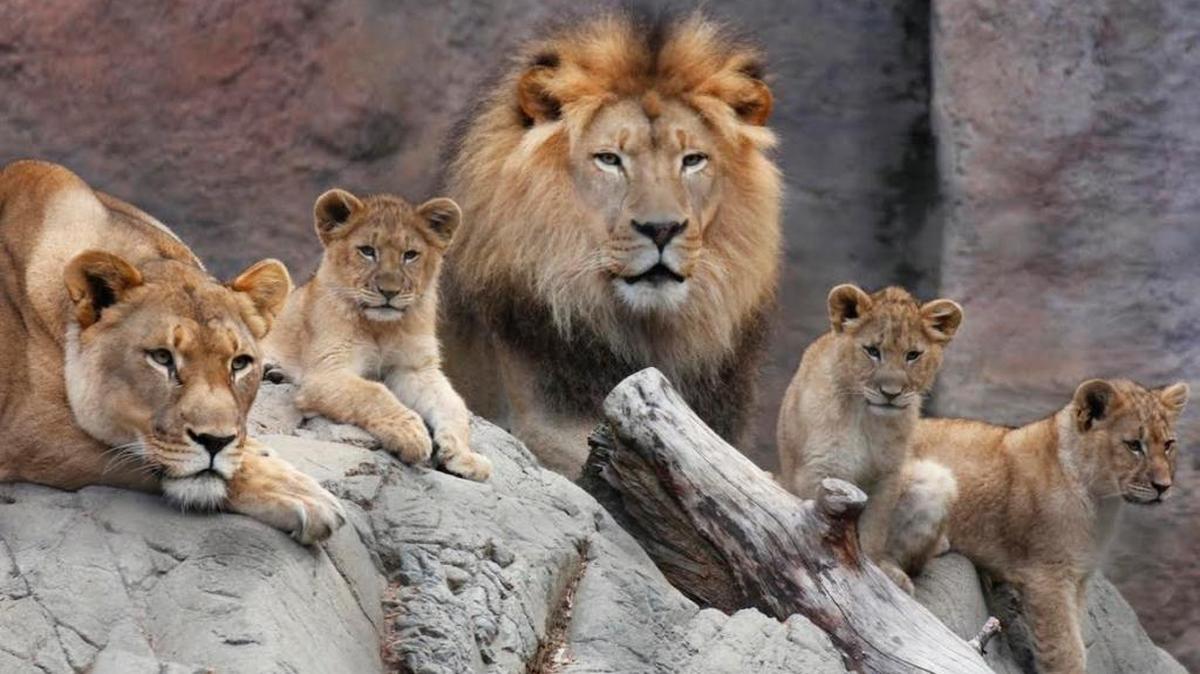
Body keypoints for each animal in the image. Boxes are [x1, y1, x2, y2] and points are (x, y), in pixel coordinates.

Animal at [262, 189, 491, 481]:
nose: (389, 292)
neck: (383, 327)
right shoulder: (326, 373)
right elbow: (374, 392)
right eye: (368, 251)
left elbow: (453, 404)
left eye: (410, 254)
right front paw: (411, 435)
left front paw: (465, 456)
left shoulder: (415, 369)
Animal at [776, 284, 964, 592]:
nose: (891, 393)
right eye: (873, 351)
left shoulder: (887, 475)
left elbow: (873, 531)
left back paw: (895, 574)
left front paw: (872, 573)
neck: (868, 418)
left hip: (935, 479)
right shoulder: (820, 471)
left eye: (913, 355)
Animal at [907, 379, 1188, 673]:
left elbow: (1076, 636)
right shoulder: (1047, 575)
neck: (1101, 503)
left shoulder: (1077, 578)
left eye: (1168, 444)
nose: (1163, 487)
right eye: (1134, 445)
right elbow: (1065, 649)